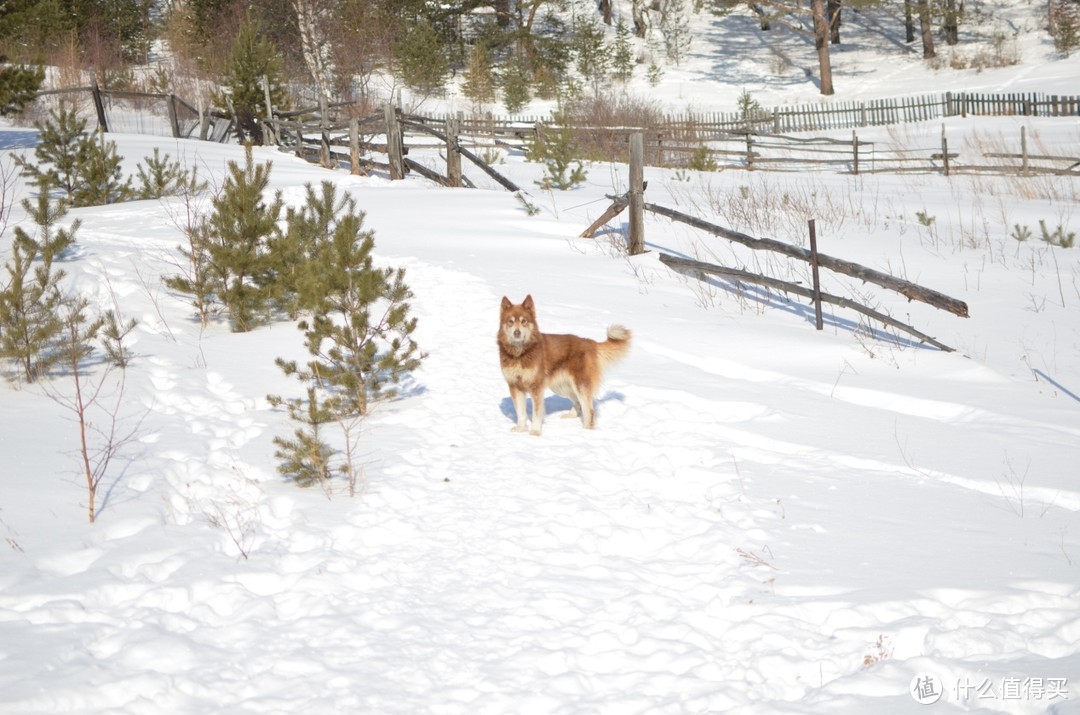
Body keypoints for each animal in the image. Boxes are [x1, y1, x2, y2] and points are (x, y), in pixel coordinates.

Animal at [496, 293, 630, 434]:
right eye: (510, 322)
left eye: (524, 321)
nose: (517, 332)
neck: (520, 354)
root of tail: (591, 343)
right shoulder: (515, 386)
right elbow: (520, 413)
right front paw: (521, 429)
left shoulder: (536, 387)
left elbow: (536, 413)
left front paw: (535, 432)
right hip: (562, 386)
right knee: (578, 402)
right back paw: (571, 415)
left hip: (580, 384)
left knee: (589, 409)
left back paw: (586, 431)